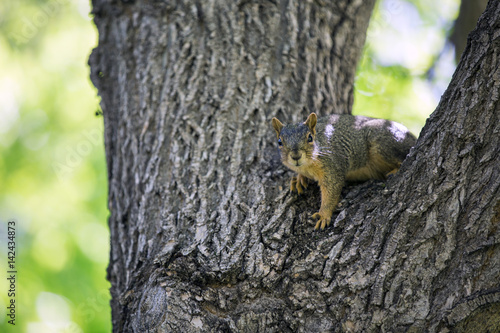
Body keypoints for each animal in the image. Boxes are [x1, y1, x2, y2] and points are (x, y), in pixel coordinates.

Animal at [272, 112, 416, 228]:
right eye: (279, 142)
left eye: (310, 138)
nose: (296, 156)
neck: (307, 166)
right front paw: (299, 179)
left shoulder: (332, 167)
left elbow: (331, 191)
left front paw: (323, 215)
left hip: (383, 143)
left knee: (403, 157)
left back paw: (395, 170)